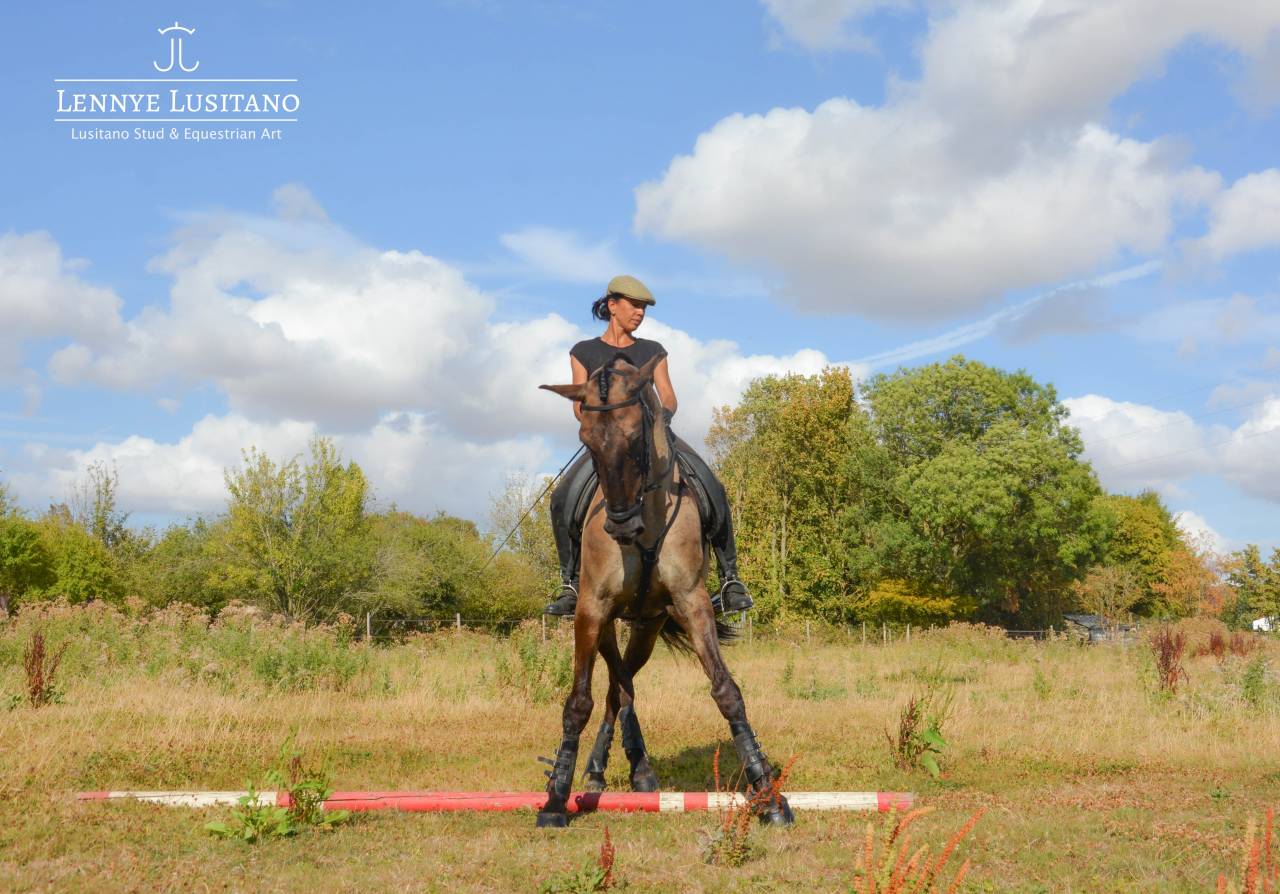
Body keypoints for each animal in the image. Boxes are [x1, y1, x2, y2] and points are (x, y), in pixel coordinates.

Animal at [536, 353, 794, 828]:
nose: (620, 526)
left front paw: (766, 791)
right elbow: (579, 700)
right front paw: (556, 797)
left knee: (619, 689)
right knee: (618, 686)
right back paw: (605, 771)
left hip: (648, 628)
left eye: (637, 436)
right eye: (586, 438)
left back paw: (627, 770)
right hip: (605, 621)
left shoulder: (692, 603)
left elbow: (726, 692)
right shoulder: (591, 610)